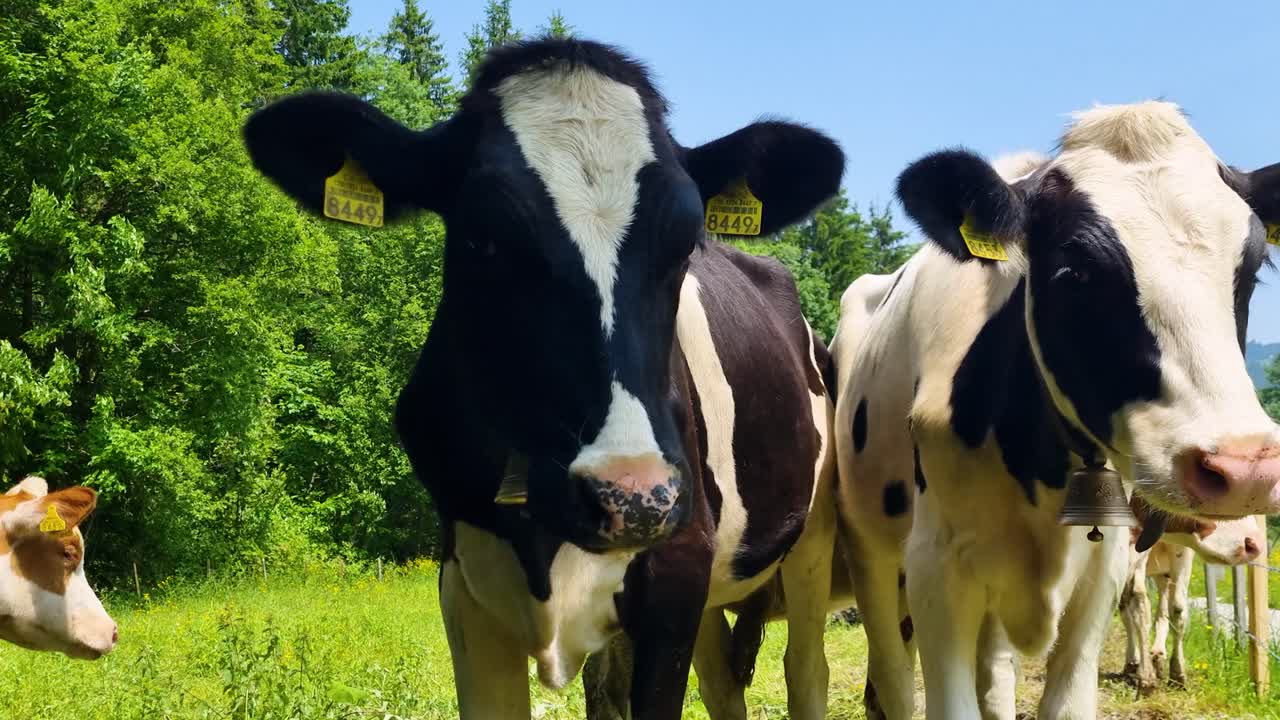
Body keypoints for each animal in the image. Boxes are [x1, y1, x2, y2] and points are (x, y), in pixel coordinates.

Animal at [242, 39, 844, 720]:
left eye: (686, 240)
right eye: (482, 235)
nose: (630, 495)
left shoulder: (678, 563)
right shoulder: (463, 583)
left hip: (811, 535)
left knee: (805, 668)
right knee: (720, 681)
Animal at [1120, 499, 1263, 693]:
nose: (1253, 542)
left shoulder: (1182, 552)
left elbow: (1177, 609)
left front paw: (1177, 673)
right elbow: (1138, 605)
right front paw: (1146, 676)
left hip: (1162, 575)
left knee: (1161, 610)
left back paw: (1158, 654)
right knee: (1127, 612)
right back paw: (1133, 660)